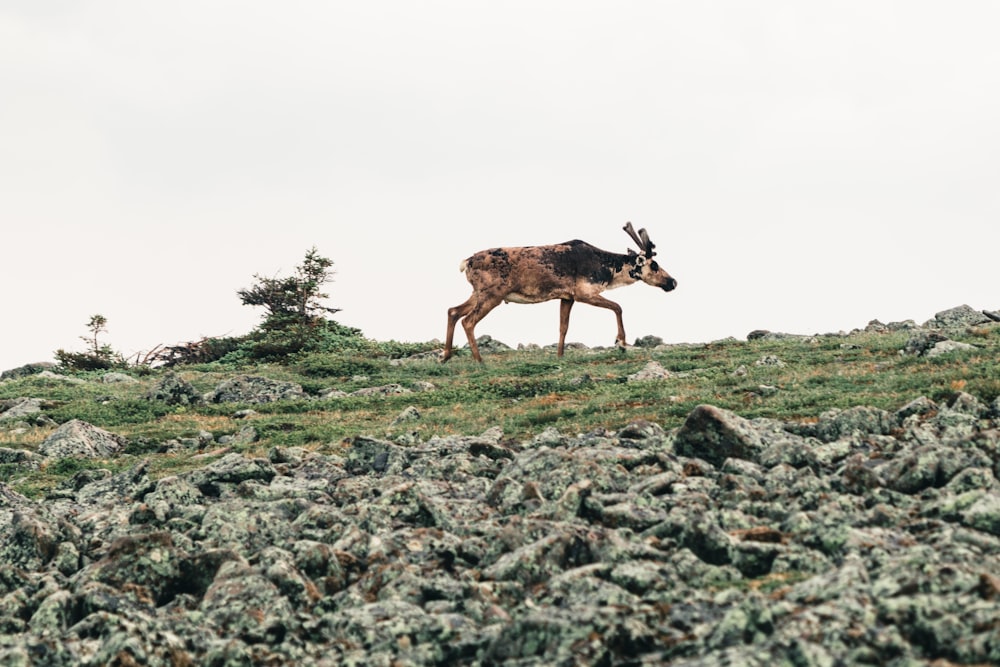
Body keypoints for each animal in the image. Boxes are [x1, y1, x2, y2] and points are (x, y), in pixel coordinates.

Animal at [442, 223, 676, 360]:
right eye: (655, 265)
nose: (673, 282)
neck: (607, 270)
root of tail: (467, 262)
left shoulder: (567, 297)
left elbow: (563, 327)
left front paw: (560, 355)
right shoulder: (584, 293)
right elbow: (618, 307)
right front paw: (621, 341)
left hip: (478, 293)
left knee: (453, 311)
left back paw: (446, 356)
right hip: (492, 294)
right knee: (468, 321)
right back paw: (479, 360)